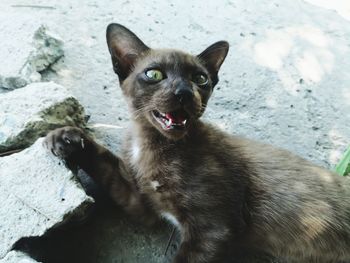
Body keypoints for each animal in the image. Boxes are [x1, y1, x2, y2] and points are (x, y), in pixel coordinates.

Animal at [43, 23, 350, 262]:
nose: (183, 92)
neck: (150, 145)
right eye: (154, 74)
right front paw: (66, 138)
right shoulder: (142, 204)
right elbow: (104, 162)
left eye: (200, 78)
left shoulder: (214, 229)